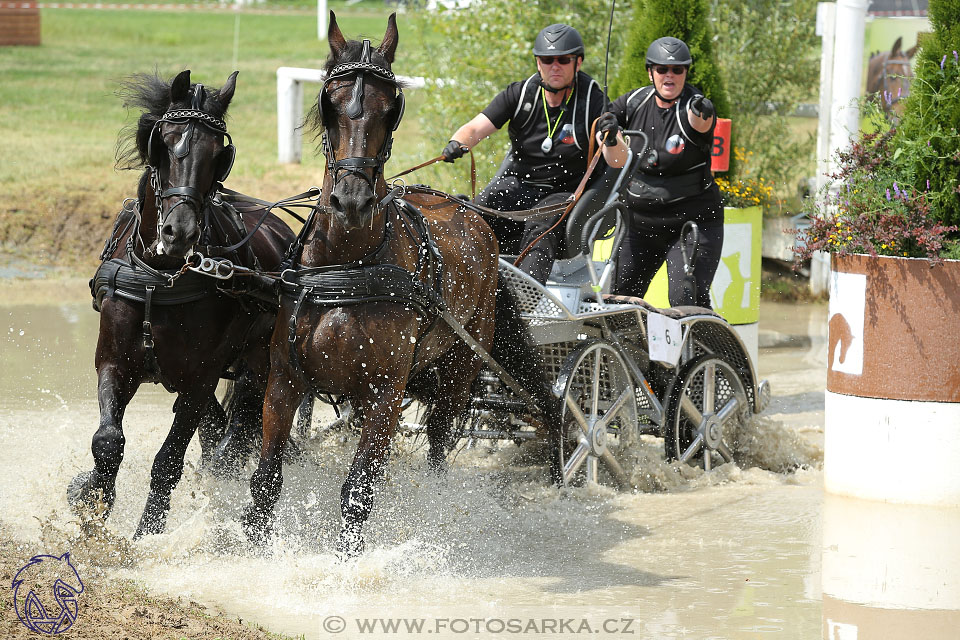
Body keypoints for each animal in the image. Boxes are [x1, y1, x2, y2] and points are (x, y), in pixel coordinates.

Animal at [68, 70, 296, 540]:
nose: (180, 232)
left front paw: (146, 535)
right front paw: (90, 502)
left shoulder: (199, 380)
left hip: (260, 362)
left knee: (236, 427)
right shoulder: (114, 363)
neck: (161, 277)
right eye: (165, 143)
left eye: (217, 154)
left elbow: (168, 461)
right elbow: (108, 442)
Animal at [236, 12, 560, 556]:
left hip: (459, 370)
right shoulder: (284, 381)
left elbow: (357, 493)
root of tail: (469, 212)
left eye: (392, 109)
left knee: (439, 447)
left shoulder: (383, 393)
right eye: (330, 103)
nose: (351, 200)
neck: (349, 268)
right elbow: (266, 480)